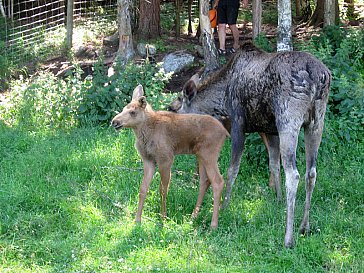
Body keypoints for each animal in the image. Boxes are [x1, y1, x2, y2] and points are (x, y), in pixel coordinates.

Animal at [112, 85, 229, 227]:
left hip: (209, 154)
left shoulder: (166, 158)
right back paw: (193, 216)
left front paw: (163, 218)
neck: (144, 134)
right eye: (124, 108)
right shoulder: (148, 160)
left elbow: (163, 189)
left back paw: (213, 224)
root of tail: (225, 132)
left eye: (133, 112)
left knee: (218, 181)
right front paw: (138, 220)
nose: (114, 122)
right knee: (205, 181)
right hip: (200, 155)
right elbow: (143, 189)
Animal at [175, 43, 332, 246]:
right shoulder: (270, 130)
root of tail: (319, 77)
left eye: (174, 109)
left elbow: (232, 169)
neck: (221, 99)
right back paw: (304, 227)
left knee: (294, 174)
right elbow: (274, 164)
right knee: (311, 172)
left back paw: (288, 237)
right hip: (316, 123)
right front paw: (278, 199)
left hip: (289, 120)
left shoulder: (238, 123)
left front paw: (225, 205)